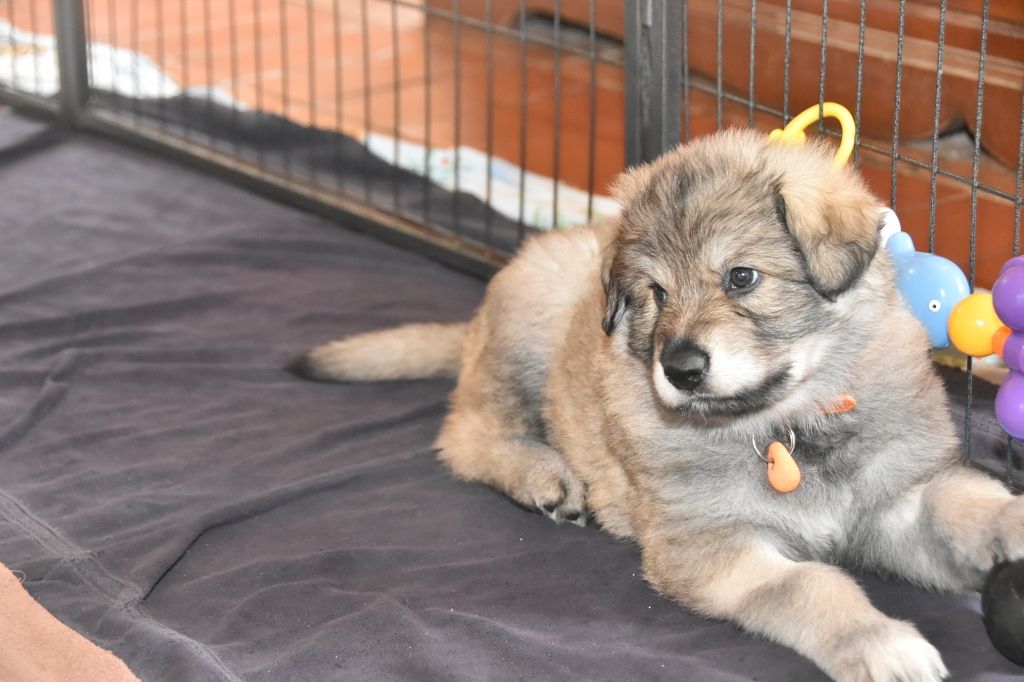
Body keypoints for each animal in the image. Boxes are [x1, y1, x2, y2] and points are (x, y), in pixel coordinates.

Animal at [292, 129, 1024, 681]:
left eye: (742, 277)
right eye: (657, 293)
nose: (680, 368)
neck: (787, 427)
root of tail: (472, 329)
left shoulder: (893, 505)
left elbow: (959, 502)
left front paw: (1011, 521)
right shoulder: (709, 543)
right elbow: (813, 584)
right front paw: (880, 643)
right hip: (528, 333)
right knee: (466, 432)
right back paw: (543, 474)